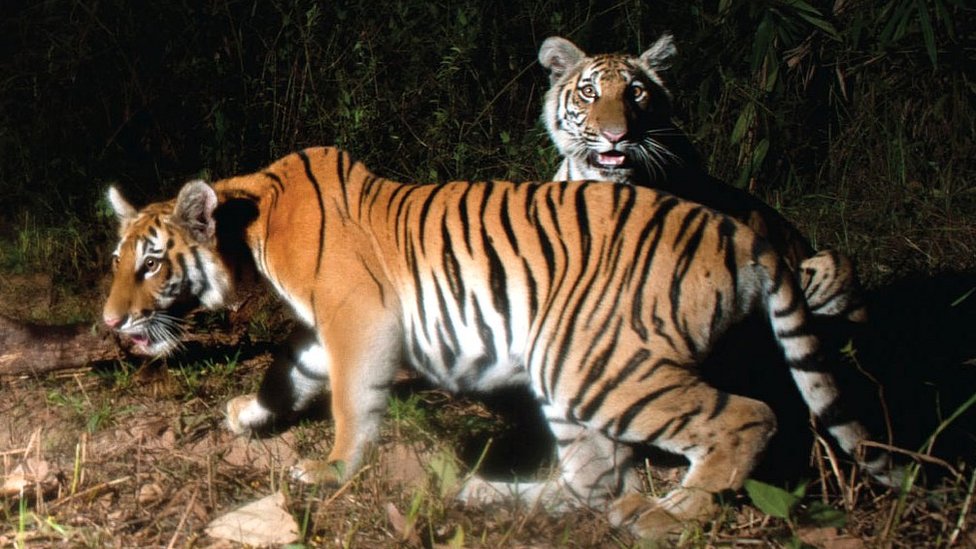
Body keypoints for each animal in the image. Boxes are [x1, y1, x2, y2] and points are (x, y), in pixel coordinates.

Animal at [102, 147, 898, 539]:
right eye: (117, 258)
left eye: (151, 263)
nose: (108, 323)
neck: (251, 225)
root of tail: (743, 232)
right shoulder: (325, 330)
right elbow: (288, 371)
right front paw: (250, 415)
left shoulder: (358, 316)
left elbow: (352, 403)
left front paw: (331, 471)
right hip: (570, 370)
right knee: (593, 477)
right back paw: (481, 492)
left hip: (596, 364)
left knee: (745, 417)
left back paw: (667, 515)